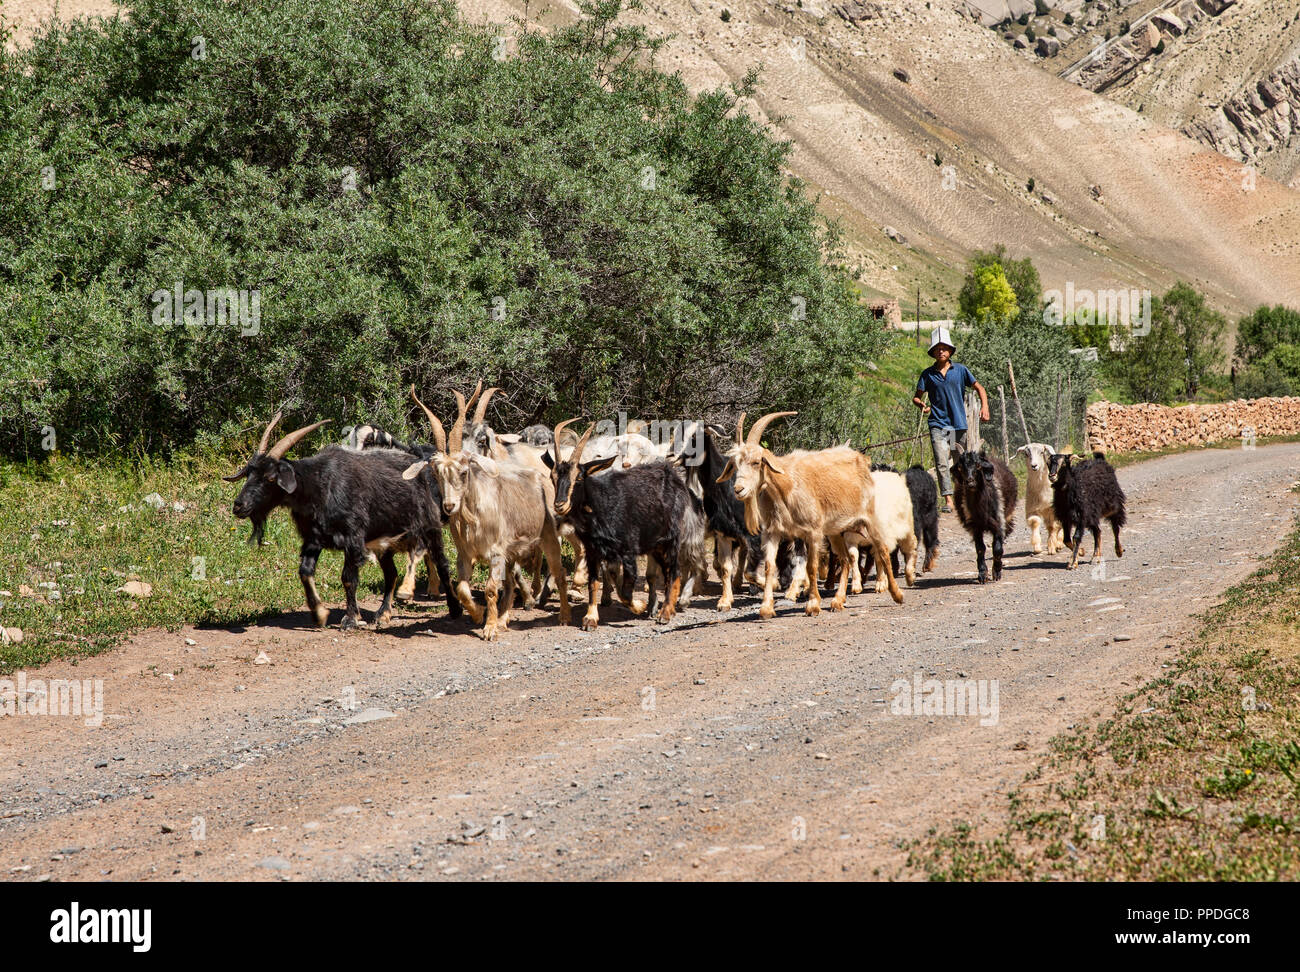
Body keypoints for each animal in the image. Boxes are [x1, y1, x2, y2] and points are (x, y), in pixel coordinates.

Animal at [226, 413, 460, 631]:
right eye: (248, 473)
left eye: (270, 478)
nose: (239, 505)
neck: (319, 486)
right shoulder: (313, 539)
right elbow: (305, 572)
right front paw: (319, 613)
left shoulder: (353, 538)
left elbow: (348, 578)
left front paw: (350, 619)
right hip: (385, 542)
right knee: (391, 573)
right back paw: (382, 614)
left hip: (429, 528)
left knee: (442, 563)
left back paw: (454, 608)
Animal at [543, 418, 696, 631]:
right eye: (553, 477)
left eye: (579, 477)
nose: (559, 505)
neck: (600, 505)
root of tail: (673, 476)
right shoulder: (593, 550)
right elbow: (595, 582)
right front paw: (590, 618)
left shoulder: (628, 551)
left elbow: (625, 591)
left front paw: (639, 606)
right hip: (654, 544)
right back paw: (669, 608)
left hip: (671, 538)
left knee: (674, 571)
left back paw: (665, 613)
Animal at [951, 447, 1019, 582]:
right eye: (960, 467)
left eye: (978, 465)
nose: (969, 481)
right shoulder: (975, 527)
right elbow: (980, 549)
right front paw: (982, 574)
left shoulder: (999, 523)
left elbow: (997, 548)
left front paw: (996, 572)